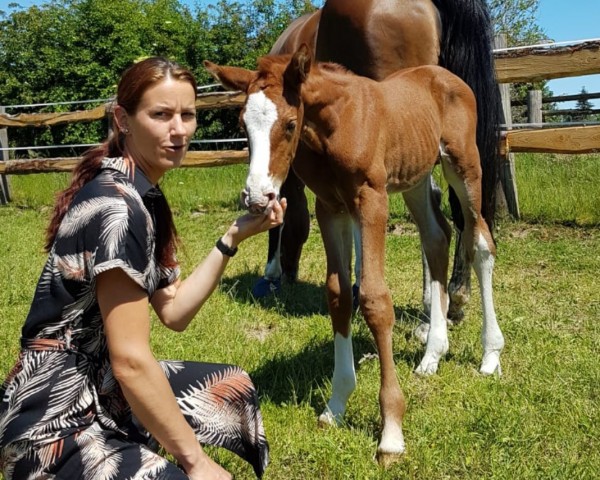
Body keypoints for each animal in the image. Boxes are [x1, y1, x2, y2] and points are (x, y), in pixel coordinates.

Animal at [204, 45, 504, 464]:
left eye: (290, 124)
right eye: (243, 125)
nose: (258, 196)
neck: (334, 126)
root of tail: (447, 76)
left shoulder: (371, 200)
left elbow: (375, 300)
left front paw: (391, 432)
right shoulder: (331, 207)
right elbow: (339, 295)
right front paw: (336, 404)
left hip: (464, 166)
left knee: (479, 245)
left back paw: (490, 354)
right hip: (414, 176)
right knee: (436, 238)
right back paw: (432, 355)